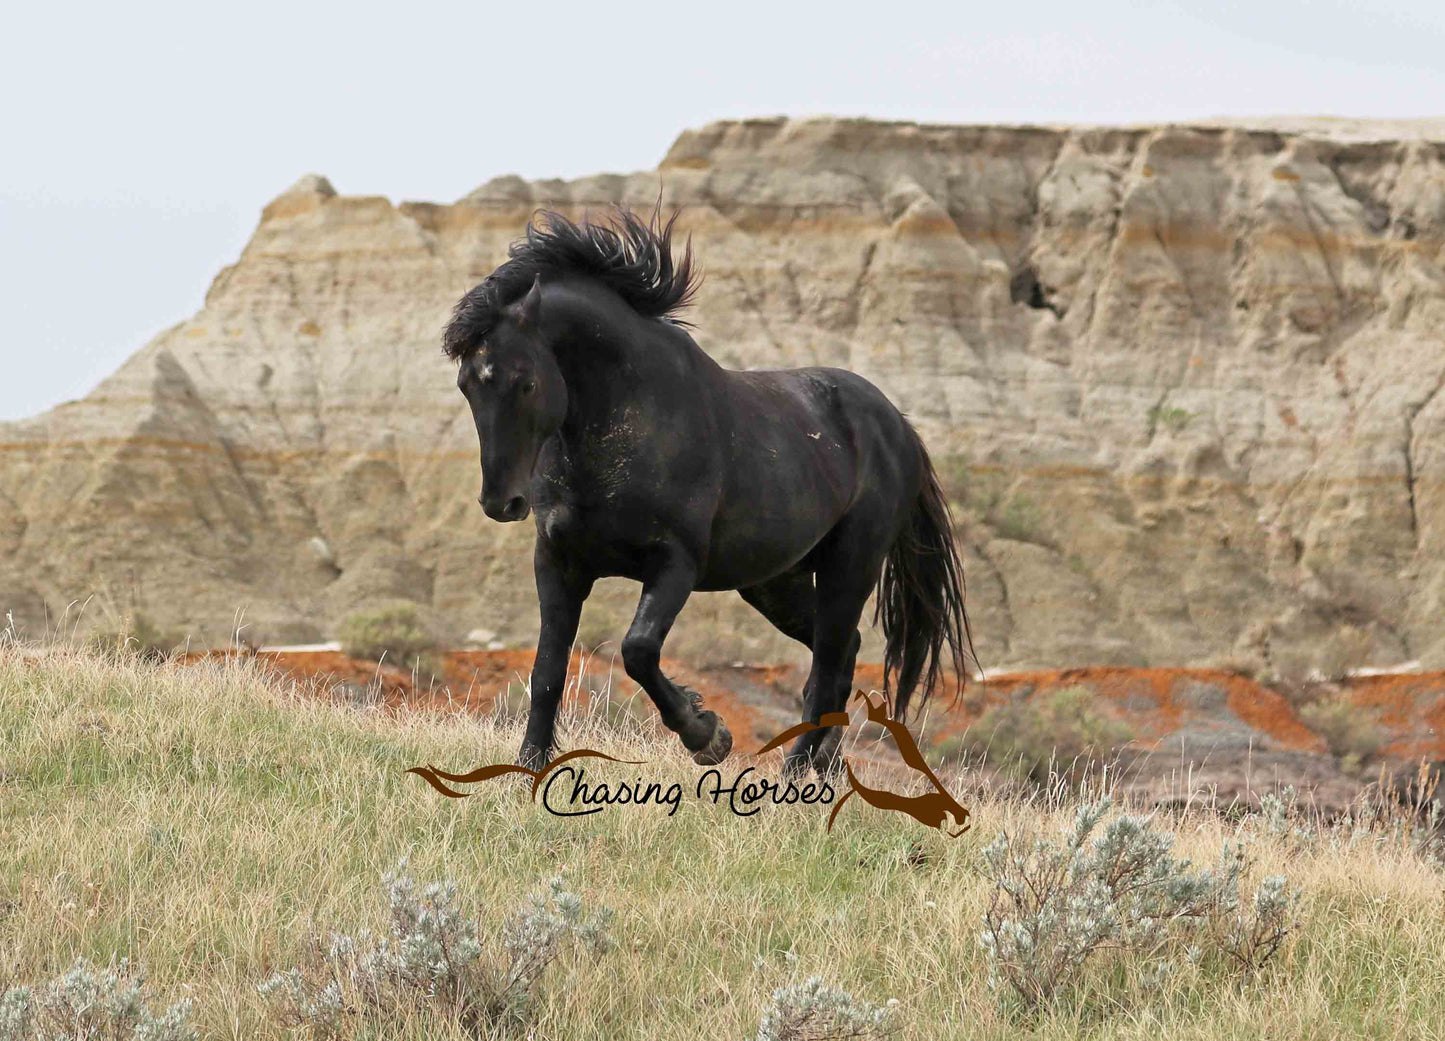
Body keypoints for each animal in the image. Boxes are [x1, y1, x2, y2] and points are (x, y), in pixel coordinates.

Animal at [443, 207, 976, 776]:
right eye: (466, 385)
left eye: (524, 381)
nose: (501, 502)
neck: (632, 420)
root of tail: (897, 424)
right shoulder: (559, 564)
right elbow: (547, 671)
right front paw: (530, 770)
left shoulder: (676, 564)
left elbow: (638, 650)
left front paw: (706, 733)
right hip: (775, 583)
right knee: (840, 652)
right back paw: (823, 761)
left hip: (849, 569)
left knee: (828, 663)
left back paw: (795, 774)